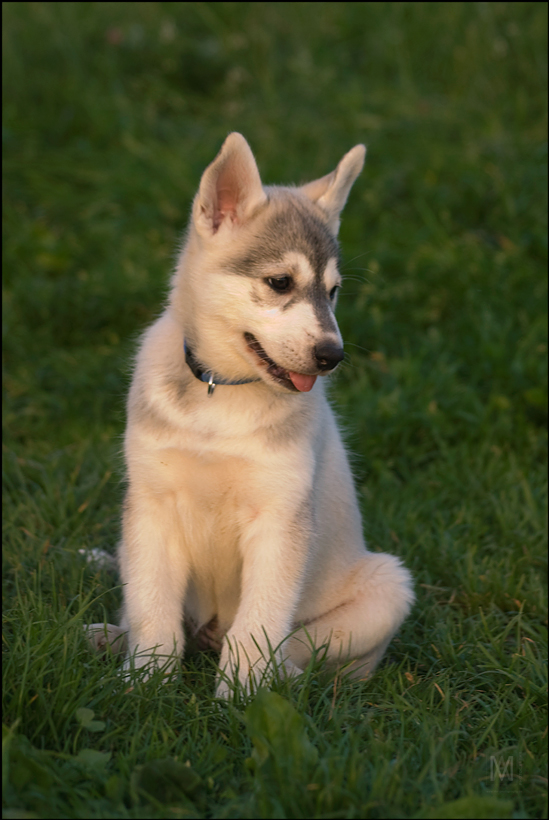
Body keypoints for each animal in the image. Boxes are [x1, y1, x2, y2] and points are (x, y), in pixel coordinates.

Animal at [116, 133, 416, 692]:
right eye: (280, 282)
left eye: (333, 291)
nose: (333, 355)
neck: (220, 395)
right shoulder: (150, 505)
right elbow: (152, 610)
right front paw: (144, 682)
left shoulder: (280, 517)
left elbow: (257, 626)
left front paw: (241, 695)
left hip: (387, 587)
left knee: (296, 649)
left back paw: (284, 677)